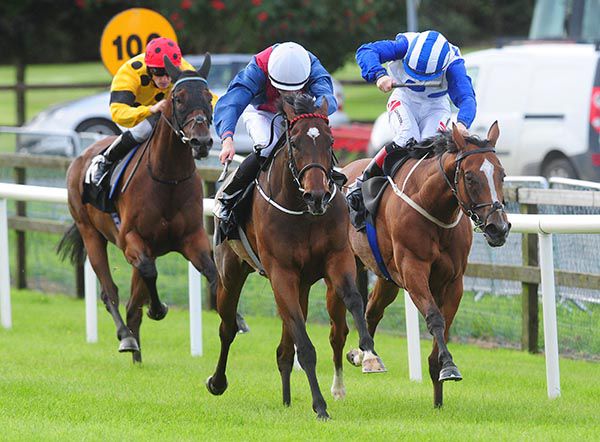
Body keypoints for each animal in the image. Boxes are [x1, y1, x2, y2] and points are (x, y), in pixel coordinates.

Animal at [57, 55, 217, 363]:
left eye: (208, 96)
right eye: (178, 98)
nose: (201, 142)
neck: (168, 178)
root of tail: (80, 158)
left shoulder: (192, 238)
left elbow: (211, 271)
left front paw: (237, 320)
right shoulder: (131, 239)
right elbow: (149, 273)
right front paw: (158, 309)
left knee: (133, 303)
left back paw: (137, 354)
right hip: (90, 233)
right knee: (111, 292)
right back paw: (127, 338)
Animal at [206, 94, 386, 420]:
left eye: (330, 141)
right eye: (296, 143)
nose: (316, 195)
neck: (303, 212)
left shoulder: (337, 259)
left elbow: (354, 300)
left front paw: (368, 353)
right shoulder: (281, 273)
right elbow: (305, 345)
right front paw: (320, 406)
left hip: (300, 284)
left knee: (284, 347)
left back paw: (287, 397)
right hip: (231, 274)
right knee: (227, 328)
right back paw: (217, 381)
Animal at [343, 122, 511, 408]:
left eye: (502, 174)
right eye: (469, 177)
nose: (498, 227)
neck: (433, 207)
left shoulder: (453, 281)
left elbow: (445, 322)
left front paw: (439, 389)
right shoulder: (413, 271)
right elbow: (434, 318)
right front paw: (450, 366)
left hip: (387, 278)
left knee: (372, 311)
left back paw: (365, 355)